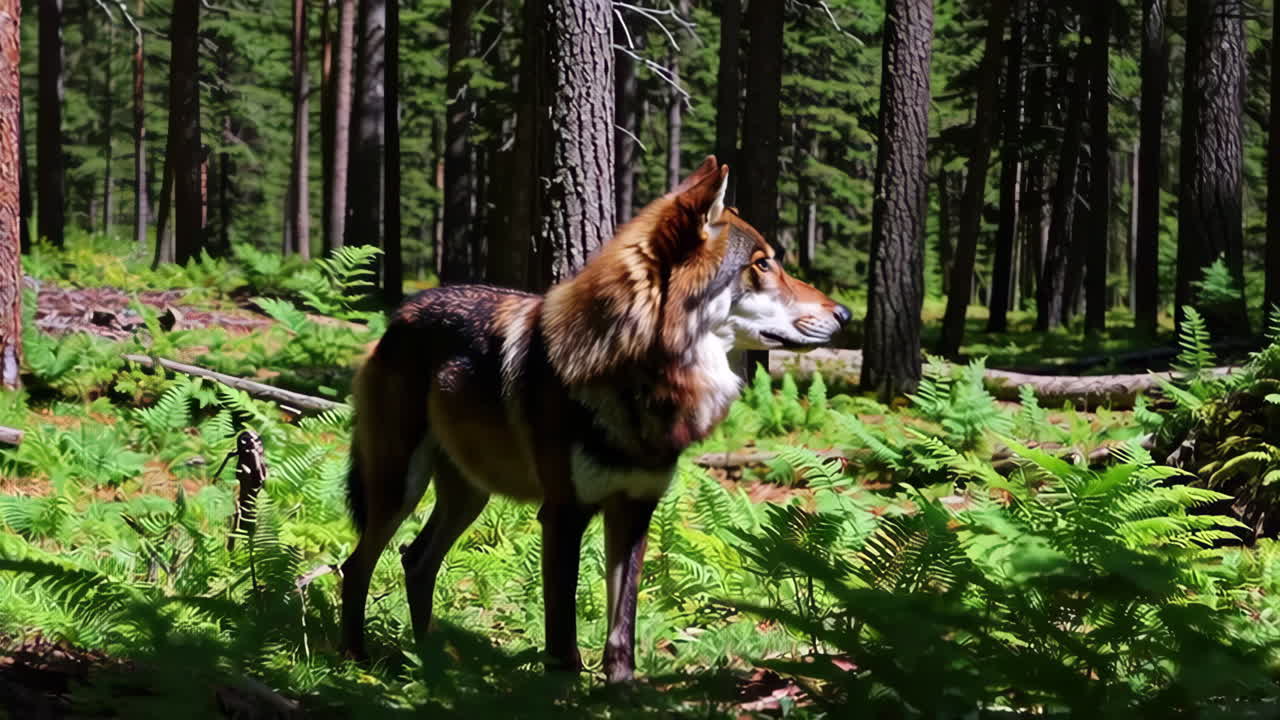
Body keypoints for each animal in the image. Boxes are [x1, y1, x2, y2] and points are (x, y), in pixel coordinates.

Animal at [341, 156, 850, 683]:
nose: (845, 314)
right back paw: (357, 660)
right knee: (357, 566)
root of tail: (399, 315)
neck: (642, 377)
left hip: (468, 496)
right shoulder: (564, 514)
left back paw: (433, 664)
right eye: (763, 264)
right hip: (401, 489)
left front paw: (621, 691)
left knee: (416, 561)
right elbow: (562, 637)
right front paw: (563, 689)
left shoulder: (635, 509)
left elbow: (621, 630)